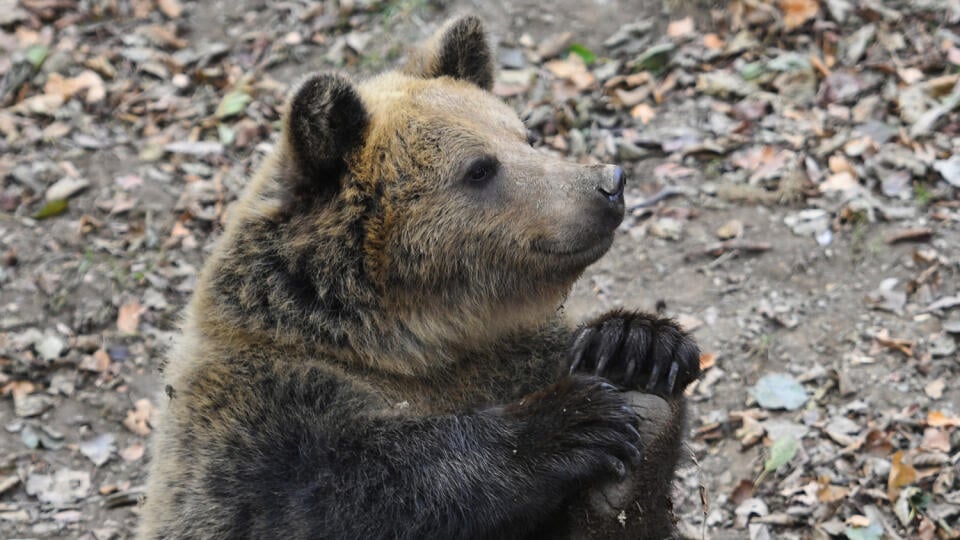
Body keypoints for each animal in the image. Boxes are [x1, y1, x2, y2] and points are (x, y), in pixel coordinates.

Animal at [139, 14, 700, 536]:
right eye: (479, 168)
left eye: (525, 136)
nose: (608, 184)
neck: (409, 341)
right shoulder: (258, 424)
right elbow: (356, 487)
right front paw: (575, 421)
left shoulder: (513, 353)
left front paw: (637, 349)